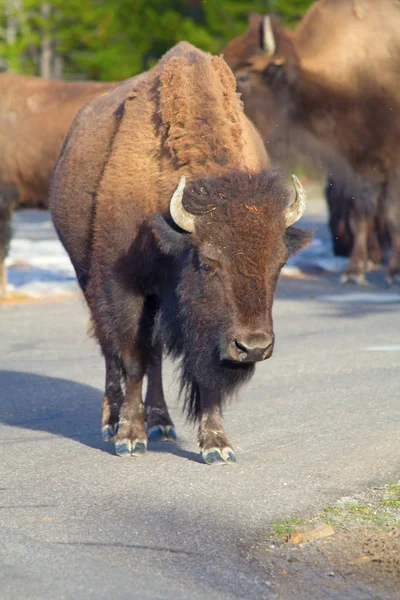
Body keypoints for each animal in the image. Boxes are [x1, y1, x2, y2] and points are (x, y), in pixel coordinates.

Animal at [50, 41, 312, 464]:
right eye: (207, 263)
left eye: (280, 263)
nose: (253, 347)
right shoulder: (124, 286)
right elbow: (131, 356)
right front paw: (130, 437)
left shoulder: (198, 324)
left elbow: (199, 368)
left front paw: (217, 445)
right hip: (86, 276)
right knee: (110, 348)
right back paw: (111, 422)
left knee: (155, 352)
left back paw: (162, 423)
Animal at [223, 0, 400, 284]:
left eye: (244, 75)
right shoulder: (354, 164)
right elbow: (360, 215)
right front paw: (354, 271)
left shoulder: (391, 162)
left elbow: (393, 216)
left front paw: (392, 272)